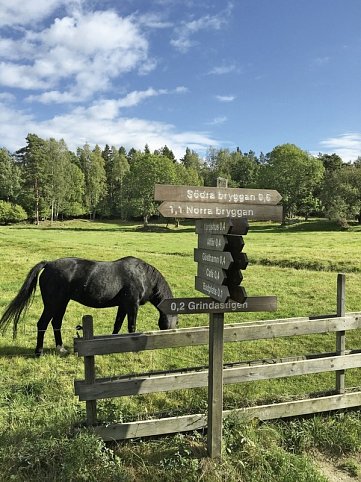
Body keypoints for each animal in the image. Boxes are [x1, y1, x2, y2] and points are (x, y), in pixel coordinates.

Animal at [0, 256, 177, 354]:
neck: (142, 276)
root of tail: (48, 264)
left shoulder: (123, 306)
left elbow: (117, 324)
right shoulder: (132, 305)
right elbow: (131, 326)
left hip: (62, 303)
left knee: (56, 323)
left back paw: (61, 348)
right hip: (52, 304)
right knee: (42, 324)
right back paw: (39, 352)